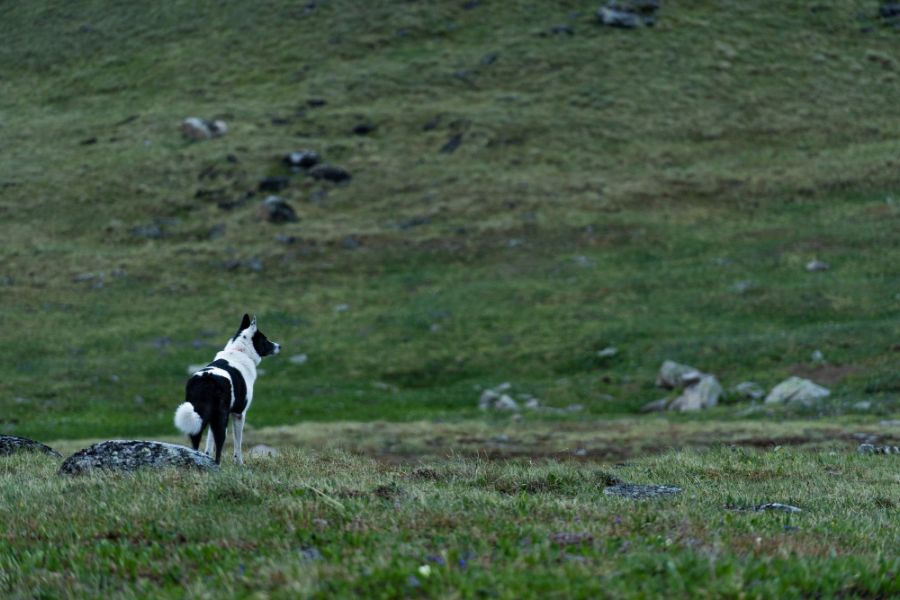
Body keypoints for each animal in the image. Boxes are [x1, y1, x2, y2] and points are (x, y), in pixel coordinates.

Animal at [171, 314, 278, 464]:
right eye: (265, 339)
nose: (279, 346)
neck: (240, 351)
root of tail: (206, 378)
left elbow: (209, 444)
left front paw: (207, 456)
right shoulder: (239, 414)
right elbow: (237, 443)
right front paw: (239, 464)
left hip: (199, 417)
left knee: (196, 441)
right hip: (221, 418)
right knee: (220, 443)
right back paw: (217, 465)